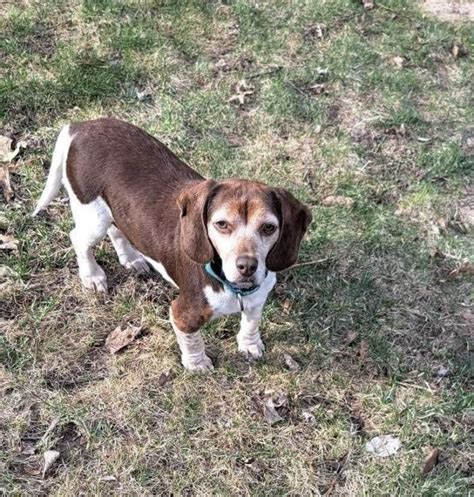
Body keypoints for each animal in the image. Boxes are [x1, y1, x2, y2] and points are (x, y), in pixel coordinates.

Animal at [33, 118, 312, 370]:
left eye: (269, 227)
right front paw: (197, 365)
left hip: (114, 212)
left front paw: (250, 345)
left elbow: (251, 324)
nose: (247, 266)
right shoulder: (183, 315)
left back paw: (131, 258)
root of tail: (81, 126)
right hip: (93, 216)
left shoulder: (257, 300)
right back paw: (92, 275)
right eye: (221, 224)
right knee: (78, 239)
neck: (234, 288)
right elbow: (192, 342)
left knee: (117, 230)